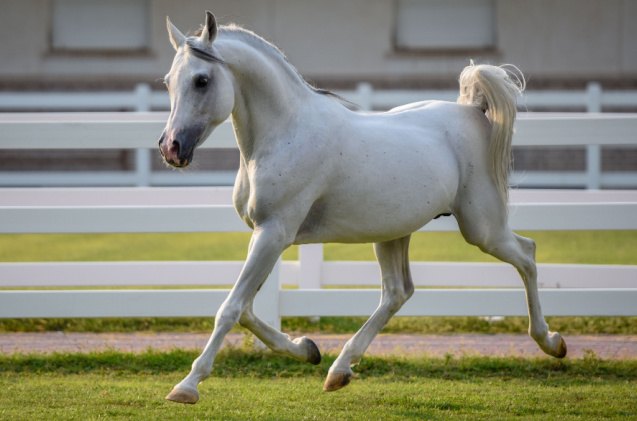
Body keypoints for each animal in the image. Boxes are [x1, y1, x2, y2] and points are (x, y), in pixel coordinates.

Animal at [159, 11, 568, 402]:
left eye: (201, 80)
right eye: (167, 81)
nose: (171, 148)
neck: (285, 133)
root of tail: (471, 112)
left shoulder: (273, 233)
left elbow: (230, 309)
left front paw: (187, 386)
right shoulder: (266, 238)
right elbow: (246, 309)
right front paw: (306, 348)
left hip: (482, 228)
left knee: (527, 254)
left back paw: (552, 342)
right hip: (393, 233)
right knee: (397, 292)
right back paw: (339, 370)